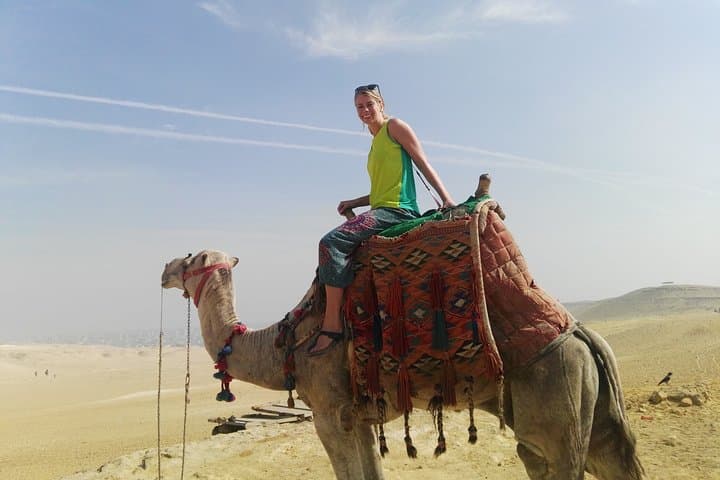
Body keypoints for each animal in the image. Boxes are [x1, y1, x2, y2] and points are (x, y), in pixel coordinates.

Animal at [162, 250, 645, 480]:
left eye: (189, 256)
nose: (164, 269)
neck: (286, 344)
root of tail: (584, 337)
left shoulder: (328, 411)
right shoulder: (357, 415)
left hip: (558, 397)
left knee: (552, 460)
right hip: (589, 405)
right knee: (606, 460)